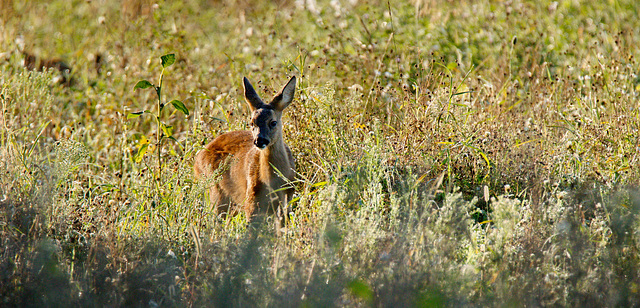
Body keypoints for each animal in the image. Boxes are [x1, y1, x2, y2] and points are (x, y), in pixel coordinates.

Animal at [194, 76, 296, 230]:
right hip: (216, 192)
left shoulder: (286, 202)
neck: (272, 182)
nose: (259, 140)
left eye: (273, 122)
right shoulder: (251, 202)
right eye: (252, 123)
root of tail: (198, 157)